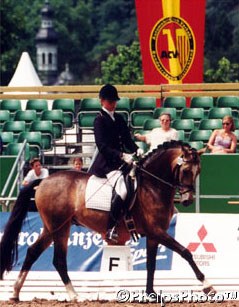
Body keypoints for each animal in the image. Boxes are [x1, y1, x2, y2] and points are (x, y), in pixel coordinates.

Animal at [0, 142, 217, 304]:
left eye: (199, 171)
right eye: (186, 170)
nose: (188, 200)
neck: (152, 186)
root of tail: (44, 181)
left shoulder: (154, 234)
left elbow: (151, 264)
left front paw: (151, 294)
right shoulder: (157, 231)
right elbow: (185, 252)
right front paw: (208, 285)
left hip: (52, 227)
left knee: (33, 252)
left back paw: (15, 293)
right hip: (59, 227)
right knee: (59, 260)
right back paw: (74, 295)